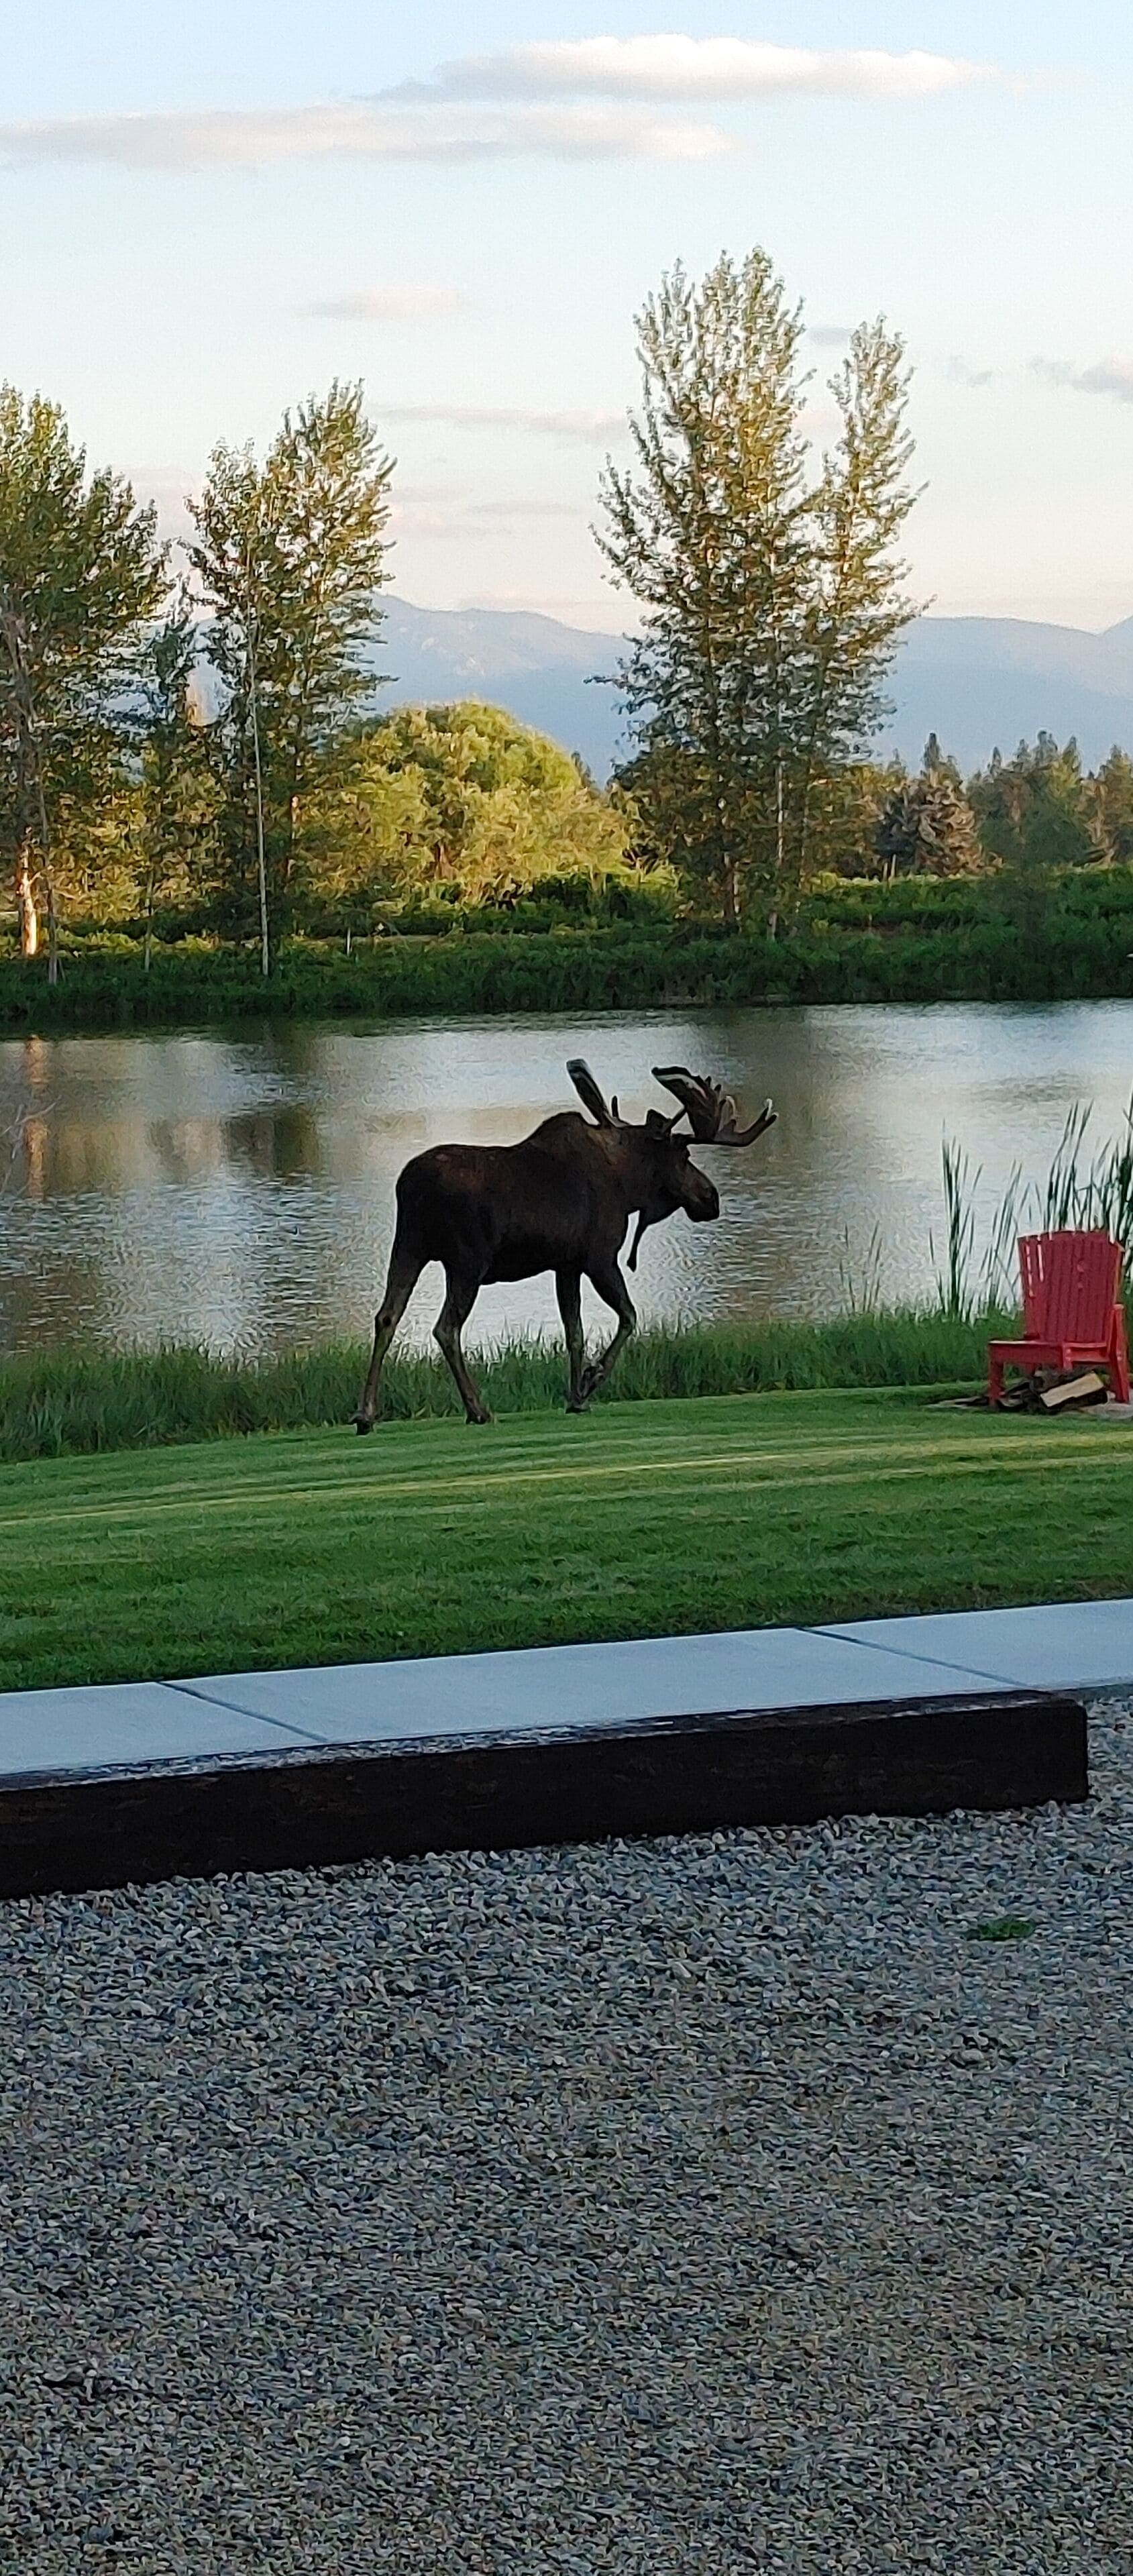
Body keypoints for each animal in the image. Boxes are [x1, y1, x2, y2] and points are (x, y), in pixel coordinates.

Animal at [353, 1060, 777, 1430]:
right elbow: (628, 1316)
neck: (629, 1186)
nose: (712, 1198)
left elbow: (575, 1330)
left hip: (408, 1247)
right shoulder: (600, 1257)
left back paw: (365, 1414)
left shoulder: (566, 1264)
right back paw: (477, 1409)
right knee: (446, 1328)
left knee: (386, 1317)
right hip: (466, 1261)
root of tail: (411, 1186)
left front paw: (576, 1398)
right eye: (684, 1155)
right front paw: (591, 1381)